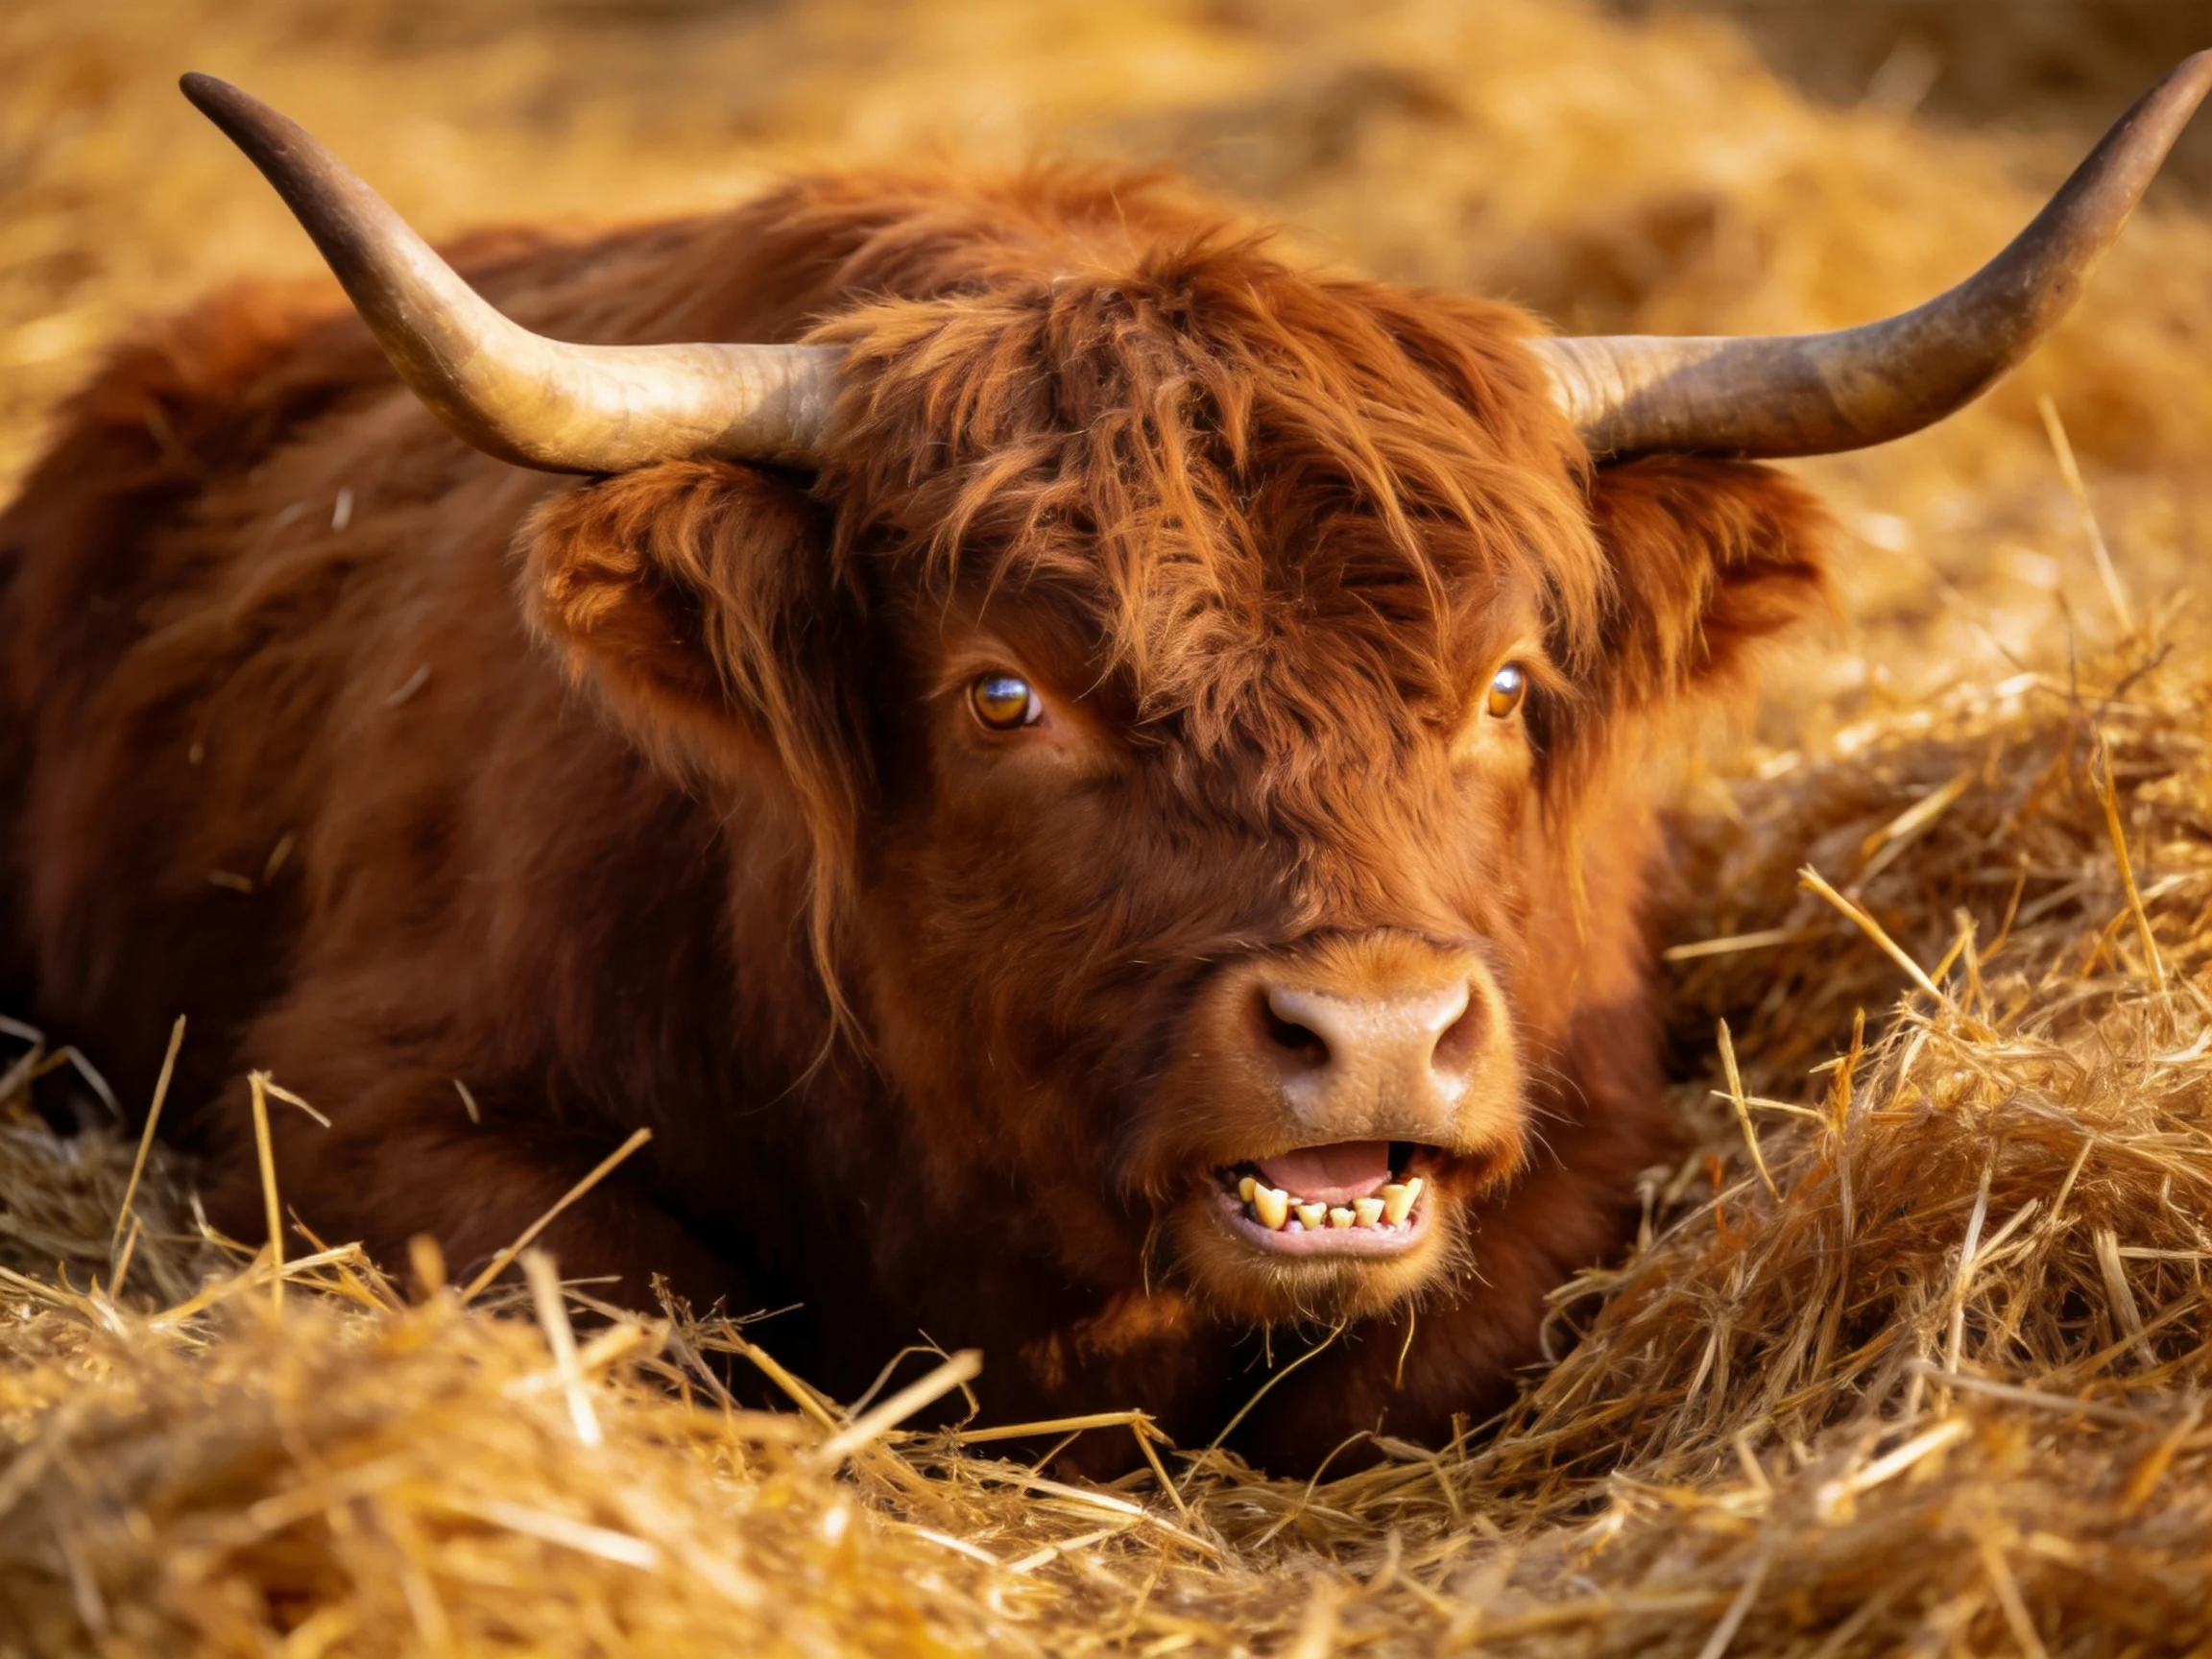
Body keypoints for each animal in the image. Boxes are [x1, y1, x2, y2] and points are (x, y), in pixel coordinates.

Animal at [1, 58, 2205, 1473]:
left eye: (1504, 686)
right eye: (1003, 698)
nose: (1376, 1033)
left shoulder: (1586, 1121)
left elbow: (1413, 1367)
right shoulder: (356, 1096)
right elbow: (651, 1310)